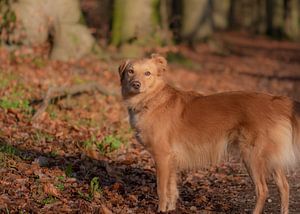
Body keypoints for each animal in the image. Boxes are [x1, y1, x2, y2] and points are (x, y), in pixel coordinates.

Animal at [118, 54, 298, 213]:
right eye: (130, 71)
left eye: (147, 73)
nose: (136, 84)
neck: (151, 100)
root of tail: (275, 101)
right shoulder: (171, 159)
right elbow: (172, 189)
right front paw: (170, 209)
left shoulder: (162, 156)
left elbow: (162, 189)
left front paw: (161, 210)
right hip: (270, 157)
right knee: (284, 186)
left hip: (252, 156)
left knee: (263, 190)